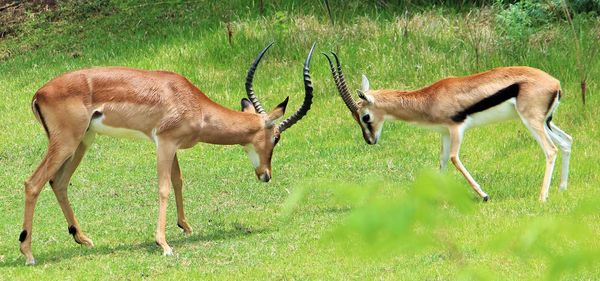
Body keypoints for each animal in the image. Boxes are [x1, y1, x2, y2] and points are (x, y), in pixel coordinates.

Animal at [18, 42, 316, 264]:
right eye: (276, 137)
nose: (266, 174)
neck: (193, 103)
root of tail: (39, 93)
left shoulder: (174, 147)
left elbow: (178, 180)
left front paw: (186, 227)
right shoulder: (164, 142)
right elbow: (163, 188)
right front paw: (164, 244)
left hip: (82, 142)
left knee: (58, 182)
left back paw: (83, 238)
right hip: (66, 143)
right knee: (33, 183)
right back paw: (28, 253)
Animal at [324, 51, 572, 202]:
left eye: (365, 117)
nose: (370, 140)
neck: (430, 98)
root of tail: (555, 83)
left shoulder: (456, 129)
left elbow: (454, 158)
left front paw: (484, 195)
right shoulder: (443, 132)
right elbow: (442, 161)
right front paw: (440, 199)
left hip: (531, 121)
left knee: (551, 150)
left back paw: (542, 197)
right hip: (545, 122)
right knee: (567, 141)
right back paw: (562, 189)